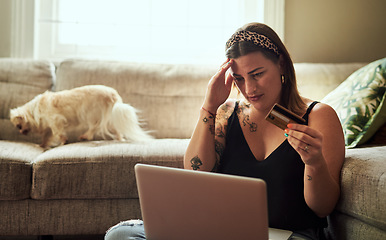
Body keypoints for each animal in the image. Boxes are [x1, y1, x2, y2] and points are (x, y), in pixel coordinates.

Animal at [9, 84, 152, 148]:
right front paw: (43, 145)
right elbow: (47, 136)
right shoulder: (48, 127)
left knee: (94, 127)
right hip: (109, 118)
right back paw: (119, 139)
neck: (34, 110)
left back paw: (85, 136)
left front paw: (63, 141)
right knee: (116, 130)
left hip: (90, 114)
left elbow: (58, 133)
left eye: (19, 126)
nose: (20, 132)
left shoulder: (55, 120)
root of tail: (113, 95)